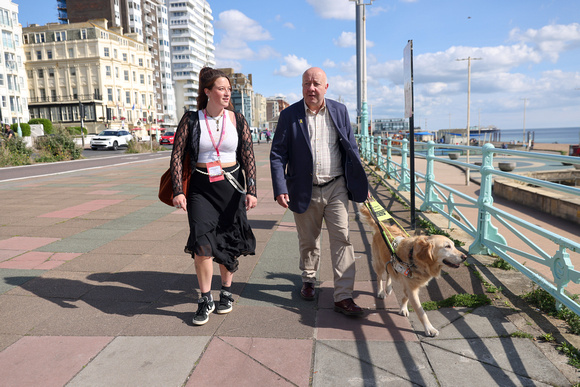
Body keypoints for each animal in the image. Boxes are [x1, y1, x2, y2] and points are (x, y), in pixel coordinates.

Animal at [362, 206, 466, 336]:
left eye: (454, 245)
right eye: (447, 246)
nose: (465, 257)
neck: (415, 259)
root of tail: (382, 225)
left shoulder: (412, 284)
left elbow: (406, 296)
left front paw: (403, 308)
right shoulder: (411, 287)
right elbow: (421, 312)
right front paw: (429, 328)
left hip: (389, 261)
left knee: (389, 272)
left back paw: (389, 287)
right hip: (379, 262)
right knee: (379, 277)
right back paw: (381, 291)